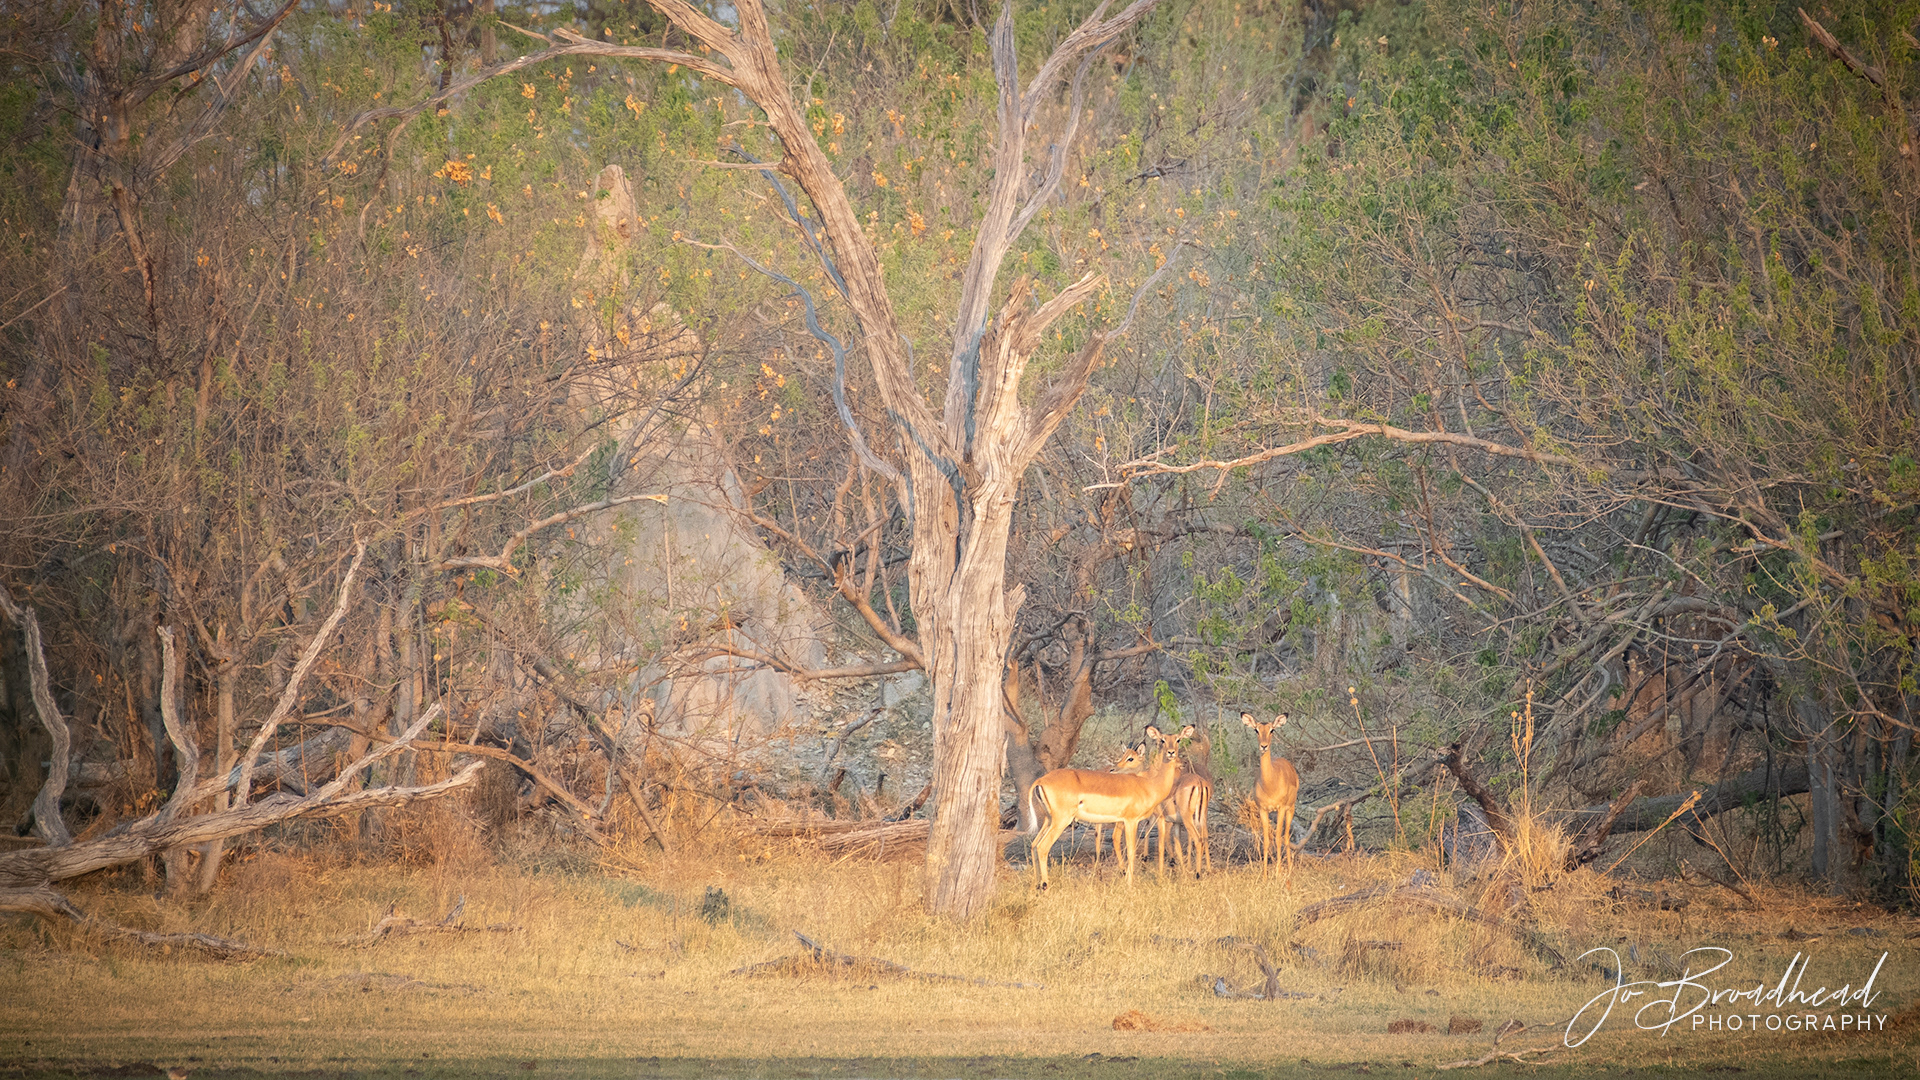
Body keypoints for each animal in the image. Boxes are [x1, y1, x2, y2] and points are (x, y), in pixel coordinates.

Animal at [1029, 724, 1194, 889]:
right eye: (1162, 740)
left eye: (1178, 740)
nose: (1171, 753)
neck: (1148, 784)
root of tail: (1041, 781)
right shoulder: (1131, 821)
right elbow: (1131, 851)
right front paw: (1129, 885)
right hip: (1061, 821)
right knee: (1042, 847)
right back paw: (1045, 886)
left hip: (1049, 820)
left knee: (1034, 844)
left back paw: (1035, 886)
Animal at [1241, 711, 1300, 875]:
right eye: (1256, 730)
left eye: (1272, 730)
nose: (1264, 746)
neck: (1270, 785)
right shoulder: (1263, 810)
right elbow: (1267, 840)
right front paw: (1265, 875)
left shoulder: (1281, 809)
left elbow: (1279, 838)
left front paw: (1278, 873)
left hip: (1290, 809)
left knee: (1285, 837)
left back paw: (1289, 869)